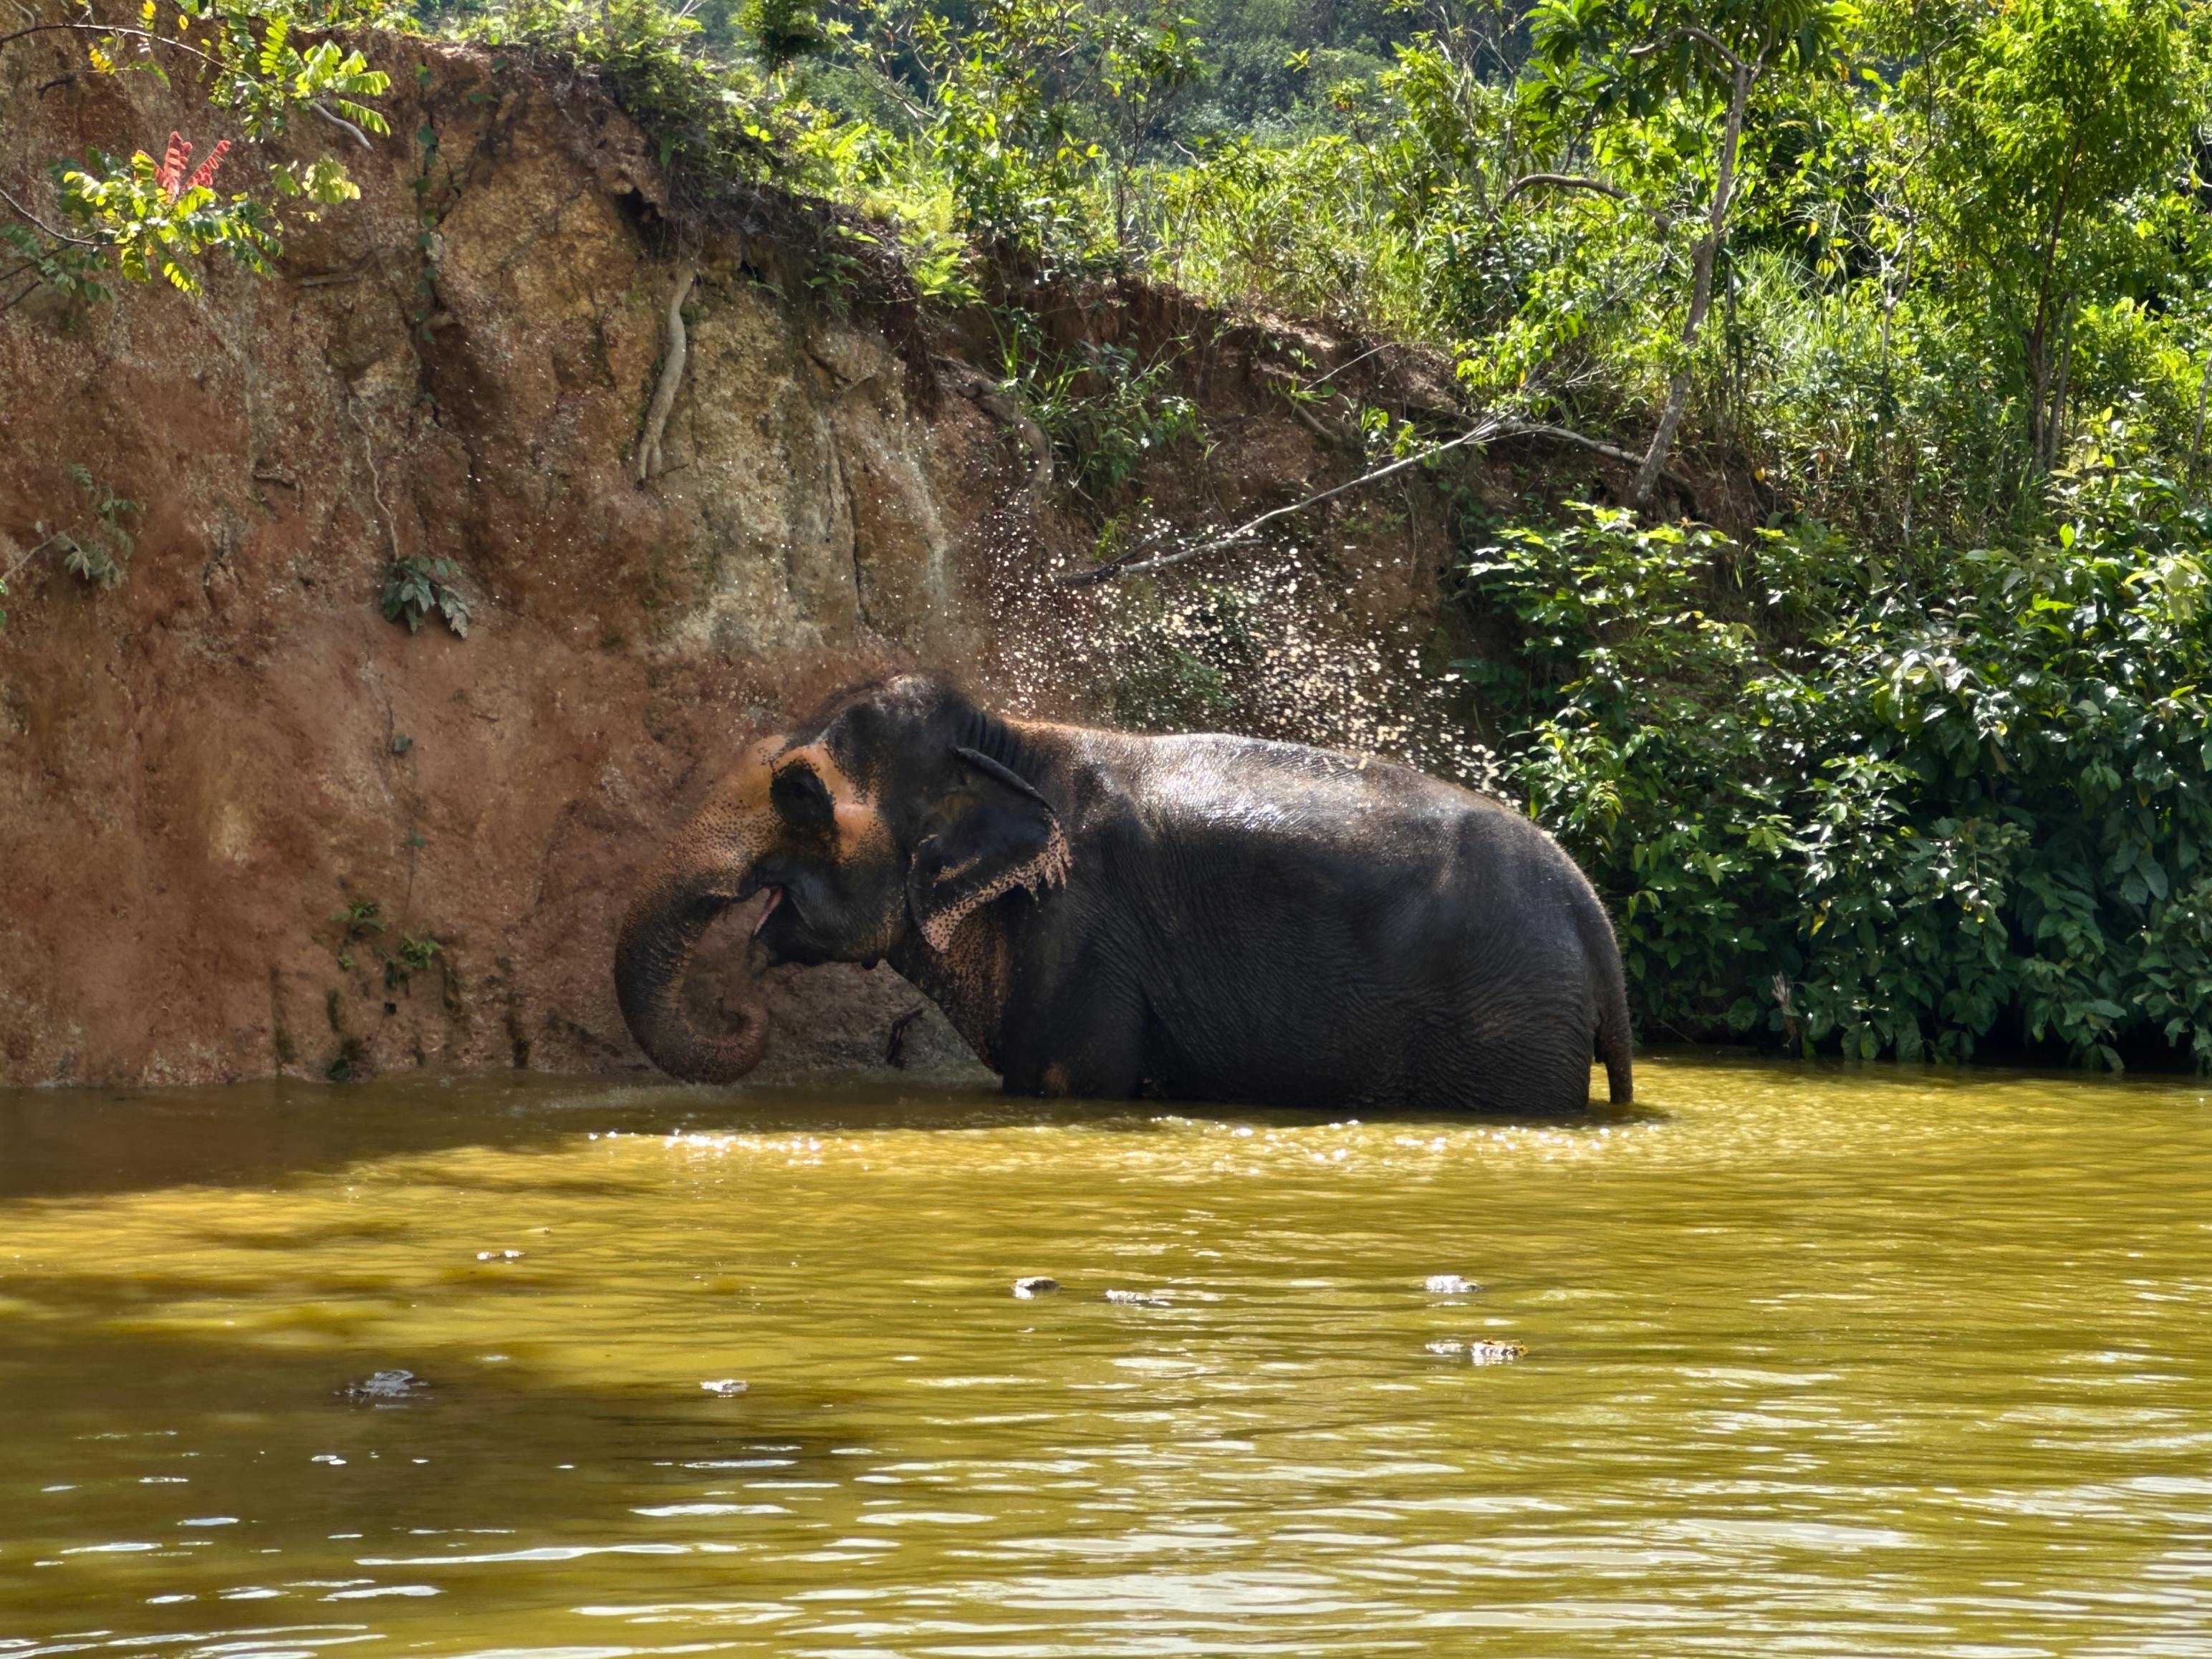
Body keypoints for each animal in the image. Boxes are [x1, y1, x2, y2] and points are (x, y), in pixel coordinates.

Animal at [614, 673, 1633, 1113]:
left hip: (1510, 1034)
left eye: (796, 793)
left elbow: (1067, 1077)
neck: (1010, 743)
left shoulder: (1080, 932)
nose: (743, 1005)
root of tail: (1593, 915)